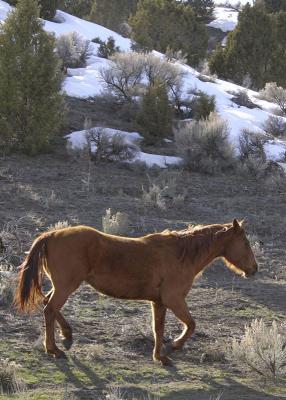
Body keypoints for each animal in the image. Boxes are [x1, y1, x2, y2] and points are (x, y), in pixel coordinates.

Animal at [14, 219, 258, 366]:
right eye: (246, 243)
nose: (254, 269)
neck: (181, 254)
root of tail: (51, 235)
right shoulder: (174, 299)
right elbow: (191, 325)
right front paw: (173, 347)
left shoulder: (159, 302)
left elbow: (158, 329)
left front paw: (160, 356)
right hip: (66, 286)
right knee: (49, 309)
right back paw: (54, 349)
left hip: (62, 286)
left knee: (48, 304)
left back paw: (67, 334)